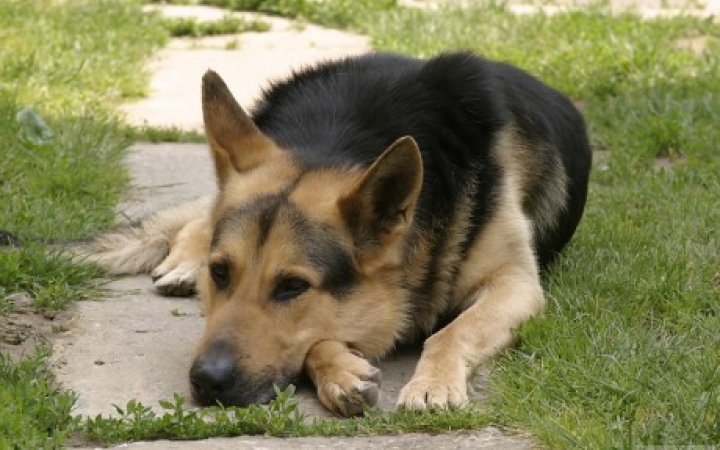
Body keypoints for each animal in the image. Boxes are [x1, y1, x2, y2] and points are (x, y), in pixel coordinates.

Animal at [84, 51, 592, 416]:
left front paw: (432, 382)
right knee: (200, 215)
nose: (206, 382)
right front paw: (341, 371)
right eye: (221, 274)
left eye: (292, 287)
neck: (338, 138)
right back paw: (182, 259)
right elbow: (319, 335)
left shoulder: (516, 284)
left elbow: (451, 333)